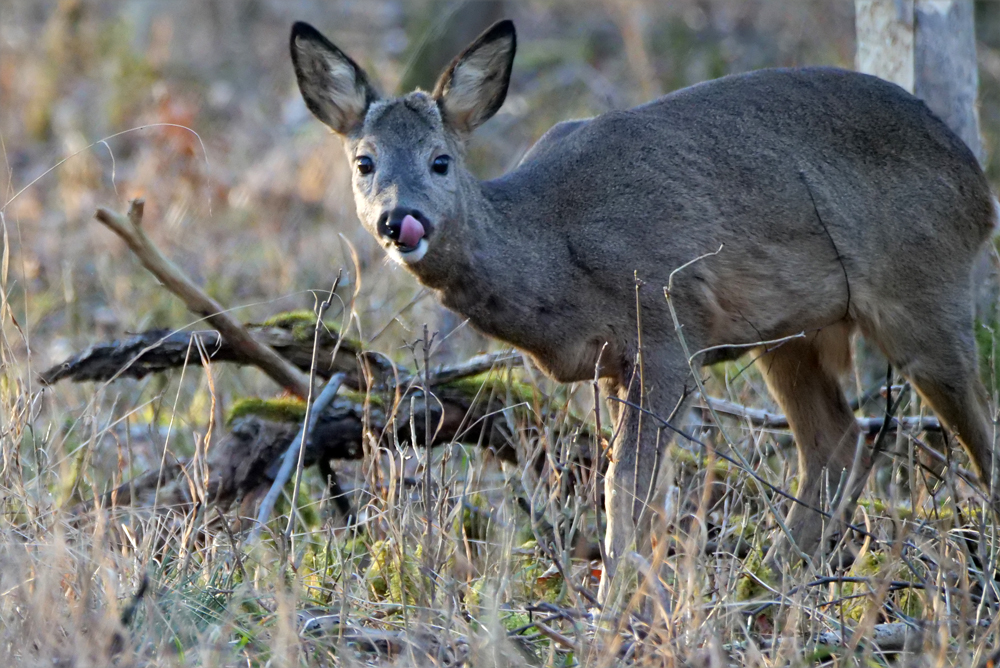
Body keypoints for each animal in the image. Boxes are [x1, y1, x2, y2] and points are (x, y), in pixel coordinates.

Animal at [292, 18, 1000, 596]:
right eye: (364, 162)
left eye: (440, 161)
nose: (399, 220)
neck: (554, 249)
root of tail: (977, 185)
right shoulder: (613, 362)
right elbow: (641, 491)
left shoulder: (667, 326)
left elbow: (623, 488)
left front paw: (612, 610)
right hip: (793, 331)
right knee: (838, 441)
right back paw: (770, 585)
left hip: (922, 285)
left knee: (973, 425)